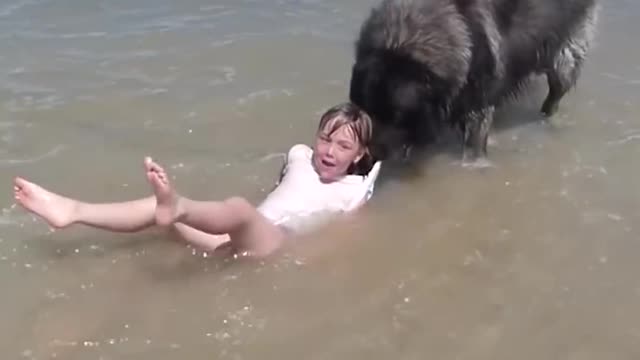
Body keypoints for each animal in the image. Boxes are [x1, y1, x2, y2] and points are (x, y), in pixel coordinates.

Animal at [350, 0, 600, 162]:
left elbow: (472, 147)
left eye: (397, 117)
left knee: (556, 92)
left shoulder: (477, 108)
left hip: (564, 57)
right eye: (367, 111)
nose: (371, 155)